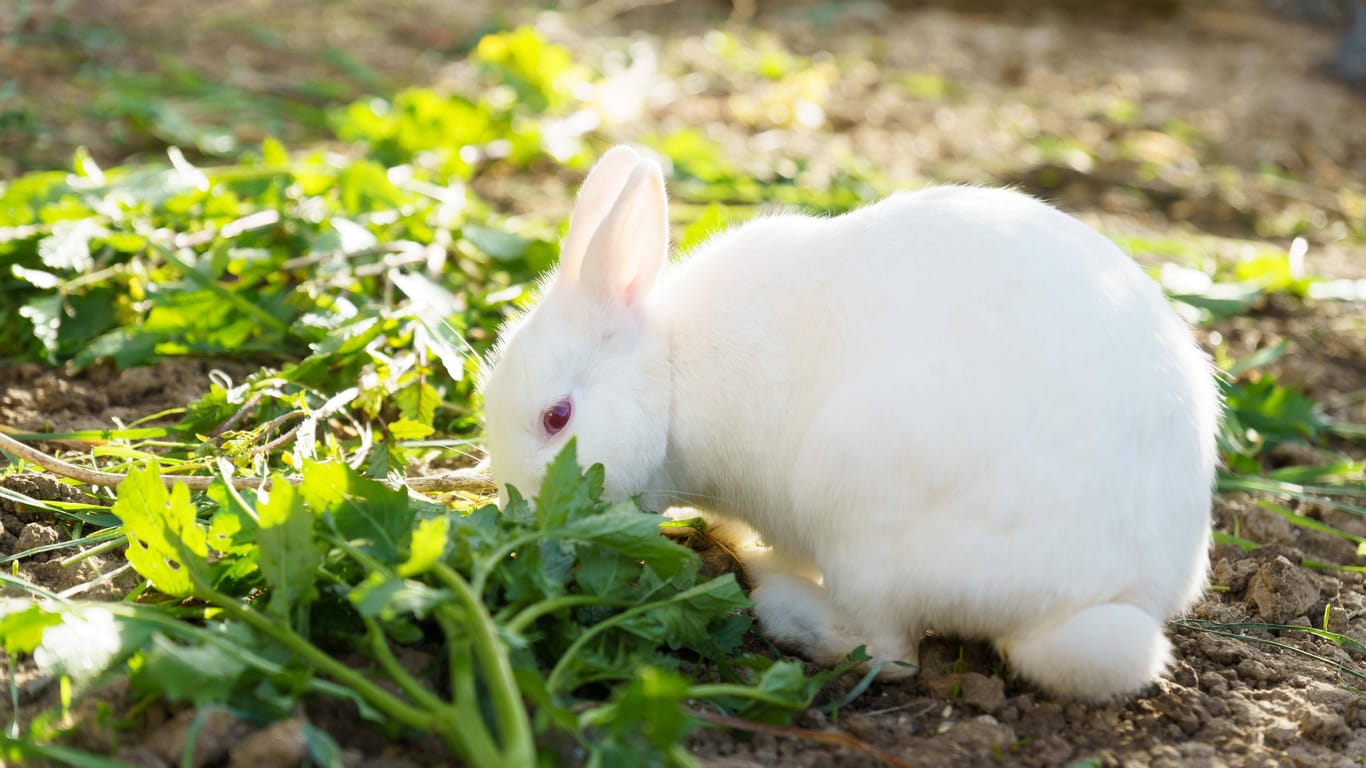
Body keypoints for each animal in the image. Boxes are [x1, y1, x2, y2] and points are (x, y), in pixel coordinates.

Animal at [480, 143, 1218, 699]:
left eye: (556, 417)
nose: (527, 520)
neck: (671, 371)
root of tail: (1104, 595)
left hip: (856, 506)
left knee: (889, 650)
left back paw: (780, 600)